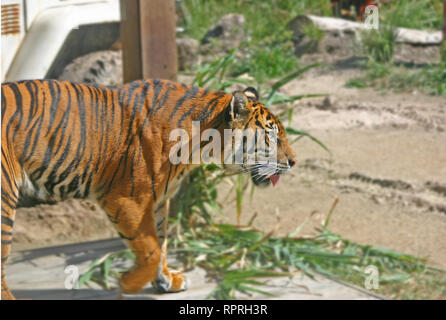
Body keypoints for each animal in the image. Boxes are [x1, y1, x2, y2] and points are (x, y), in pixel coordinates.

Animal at [3, 79, 298, 300]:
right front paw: (127, 284)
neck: (200, 144)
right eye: (272, 137)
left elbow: (161, 242)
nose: (294, 161)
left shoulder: (157, 200)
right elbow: (151, 249)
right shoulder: (127, 198)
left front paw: (166, 281)